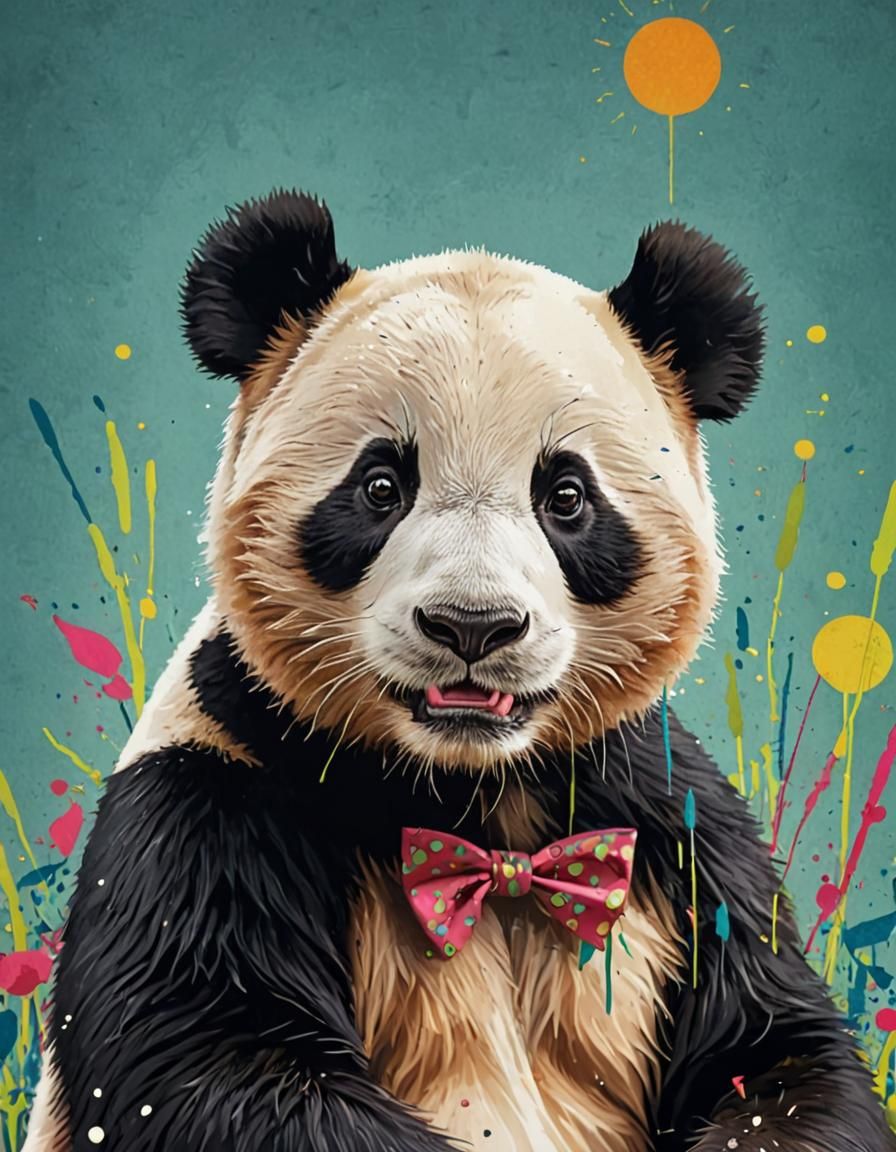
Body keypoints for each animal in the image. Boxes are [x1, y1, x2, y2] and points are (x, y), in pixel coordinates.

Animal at [24, 189, 893, 1152]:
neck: (474, 794)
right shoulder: (205, 802)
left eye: (566, 495)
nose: (472, 624)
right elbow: (223, 1069)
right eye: (379, 485)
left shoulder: (673, 831)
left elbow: (778, 1052)